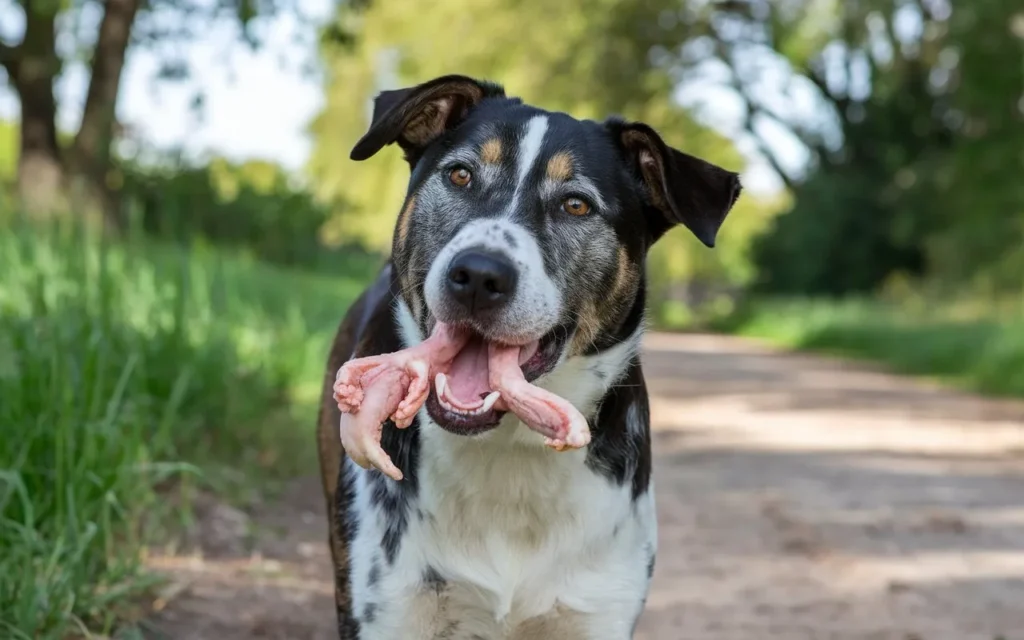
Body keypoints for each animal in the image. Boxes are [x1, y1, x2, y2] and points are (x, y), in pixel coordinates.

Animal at [315, 76, 741, 638]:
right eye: (460, 175)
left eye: (577, 205)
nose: (477, 275)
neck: (507, 449)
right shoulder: (388, 611)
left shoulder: (599, 612)